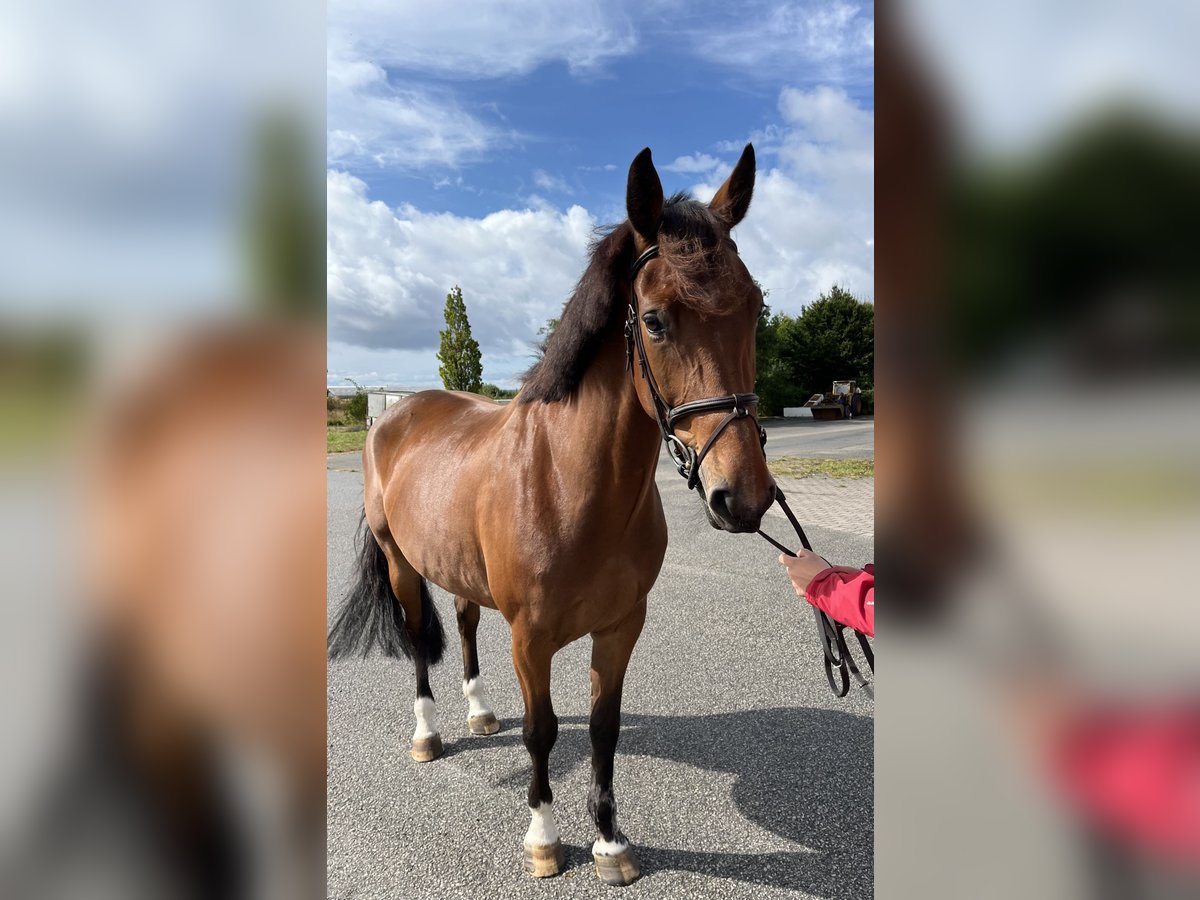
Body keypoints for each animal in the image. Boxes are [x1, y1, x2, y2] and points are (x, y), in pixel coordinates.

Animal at [331, 148, 777, 888]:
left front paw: (610, 844)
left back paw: (480, 713)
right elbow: (541, 730)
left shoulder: (621, 627)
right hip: (400, 563)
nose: (742, 497)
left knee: (462, 622)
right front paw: (544, 840)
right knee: (419, 637)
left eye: (756, 308)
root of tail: (395, 412)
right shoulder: (530, 638)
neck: (567, 484)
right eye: (654, 319)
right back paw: (428, 733)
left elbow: (603, 728)